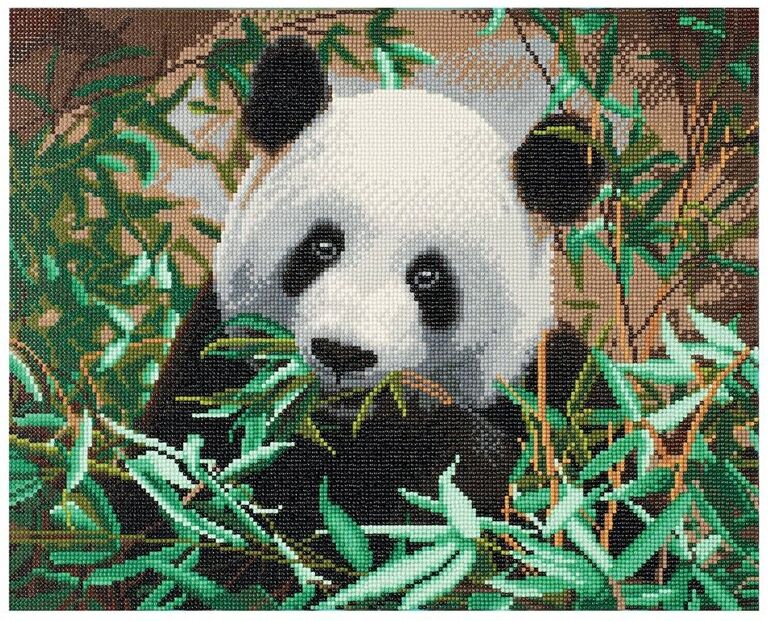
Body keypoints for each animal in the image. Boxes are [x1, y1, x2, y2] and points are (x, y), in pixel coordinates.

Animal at [135, 36, 612, 594]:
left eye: (428, 276)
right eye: (322, 246)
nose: (343, 353)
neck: (354, 423)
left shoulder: (555, 392)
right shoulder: (213, 377)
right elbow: (184, 531)